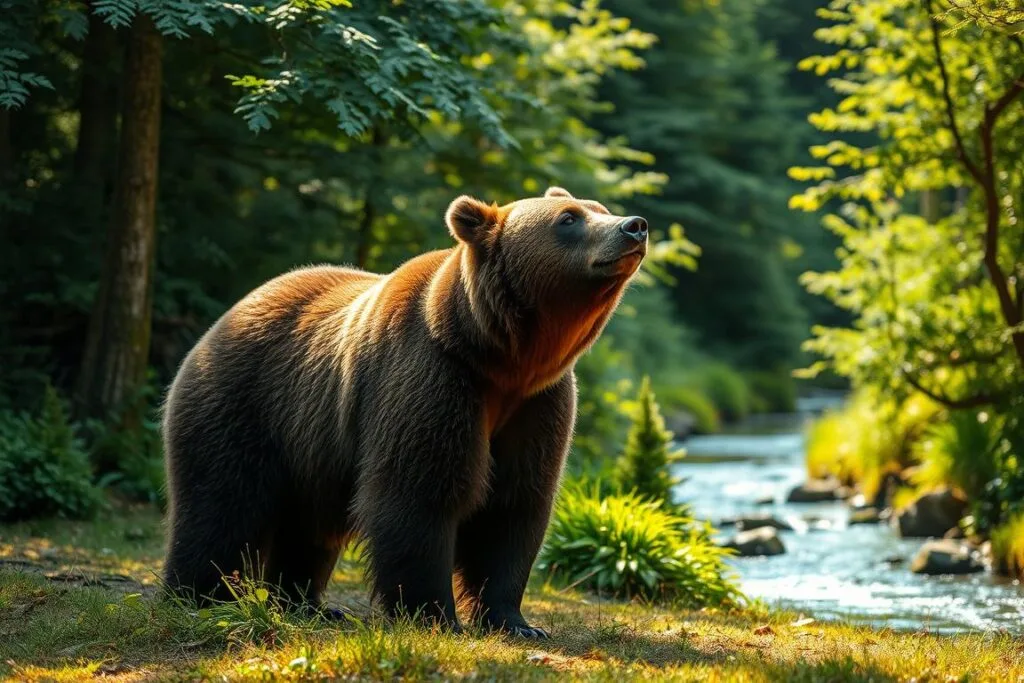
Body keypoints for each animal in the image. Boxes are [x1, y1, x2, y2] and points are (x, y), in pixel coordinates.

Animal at [162, 186, 648, 637]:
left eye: (601, 209)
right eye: (569, 218)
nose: (634, 226)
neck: (500, 356)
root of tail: (226, 317)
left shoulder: (538, 404)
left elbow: (513, 507)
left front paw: (516, 622)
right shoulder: (430, 375)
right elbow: (419, 495)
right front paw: (436, 616)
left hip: (311, 444)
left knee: (307, 530)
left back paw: (308, 605)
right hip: (244, 403)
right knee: (220, 506)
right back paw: (195, 598)